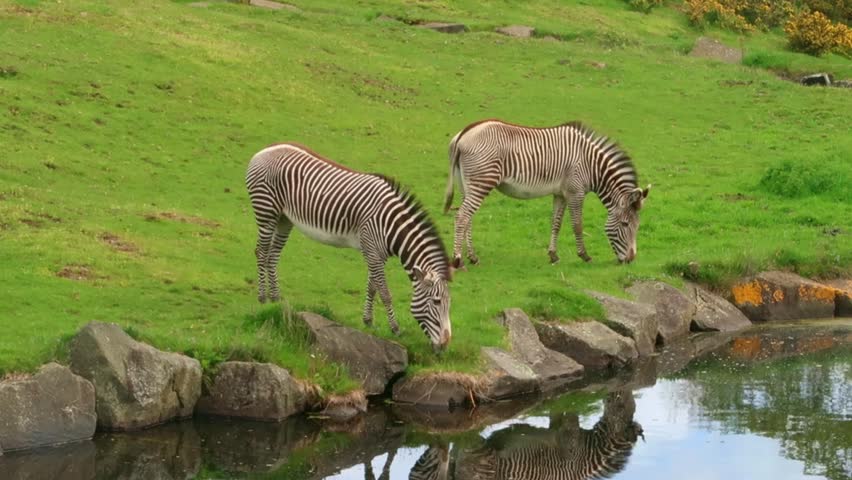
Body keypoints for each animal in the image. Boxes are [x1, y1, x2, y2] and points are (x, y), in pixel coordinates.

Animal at [246, 143, 452, 351]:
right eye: (436, 302)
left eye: (449, 303)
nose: (445, 344)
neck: (391, 224)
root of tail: (264, 150)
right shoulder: (371, 248)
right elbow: (385, 292)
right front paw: (395, 328)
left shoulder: (376, 253)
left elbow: (372, 286)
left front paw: (368, 321)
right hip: (266, 211)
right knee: (261, 252)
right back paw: (262, 298)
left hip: (284, 218)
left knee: (272, 255)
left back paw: (275, 298)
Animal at [442, 119, 651, 267]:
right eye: (625, 224)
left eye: (638, 225)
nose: (631, 260)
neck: (592, 165)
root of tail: (463, 134)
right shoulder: (575, 192)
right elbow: (577, 225)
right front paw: (584, 255)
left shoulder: (561, 193)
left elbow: (556, 224)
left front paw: (553, 255)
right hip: (481, 182)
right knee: (462, 216)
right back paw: (458, 259)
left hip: (467, 184)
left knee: (467, 217)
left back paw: (473, 257)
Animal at [454, 390, 643, 480]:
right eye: (620, 406)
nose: (622, 389)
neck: (588, 451)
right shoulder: (569, 434)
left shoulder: (560, 429)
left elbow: (556, 412)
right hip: (480, 453)